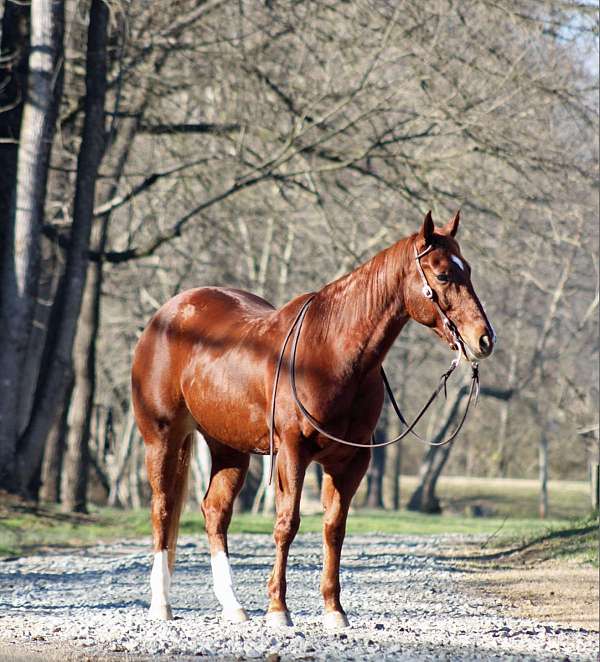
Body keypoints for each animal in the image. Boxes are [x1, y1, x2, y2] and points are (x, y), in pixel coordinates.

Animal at [134, 210, 494, 632]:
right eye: (442, 275)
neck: (330, 353)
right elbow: (287, 524)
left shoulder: (350, 461)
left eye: (466, 269)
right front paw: (278, 609)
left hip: (229, 448)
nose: (484, 340)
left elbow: (334, 528)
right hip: (162, 438)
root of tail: (167, 315)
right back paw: (161, 603)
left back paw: (233, 606)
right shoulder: (293, 452)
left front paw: (334, 610)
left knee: (215, 513)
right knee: (162, 508)